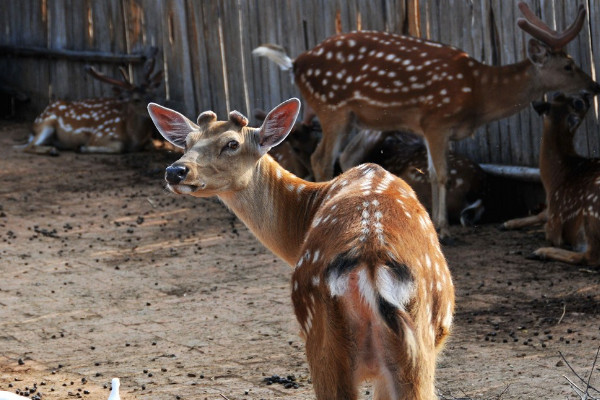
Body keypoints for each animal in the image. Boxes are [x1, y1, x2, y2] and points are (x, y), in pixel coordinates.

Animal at [24, 57, 163, 155]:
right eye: (136, 99)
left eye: (154, 94)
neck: (133, 138)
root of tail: (35, 123)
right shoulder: (100, 134)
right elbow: (119, 147)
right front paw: (80, 147)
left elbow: (151, 144)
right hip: (46, 123)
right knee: (27, 146)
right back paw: (53, 151)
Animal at [149, 97, 454, 400]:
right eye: (187, 142)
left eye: (232, 143)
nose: (175, 171)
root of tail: (371, 269)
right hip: (406, 350)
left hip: (323, 339)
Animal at [253, 1, 600, 238]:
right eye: (568, 66)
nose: (593, 86)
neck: (478, 93)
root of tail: (295, 64)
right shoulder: (435, 119)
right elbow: (439, 174)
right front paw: (443, 228)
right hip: (332, 107)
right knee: (321, 157)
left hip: (359, 117)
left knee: (345, 156)